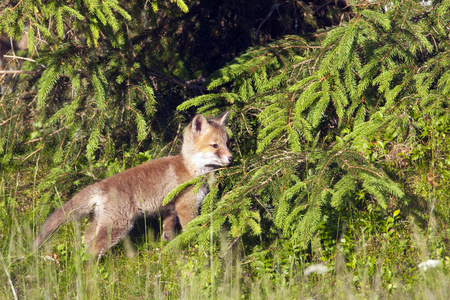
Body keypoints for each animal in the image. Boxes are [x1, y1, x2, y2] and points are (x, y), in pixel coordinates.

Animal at [33, 111, 234, 256]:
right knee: (92, 251)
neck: (190, 169)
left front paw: (170, 253)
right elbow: (193, 230)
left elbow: (168, 235)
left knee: (86, 241)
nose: (231, 158)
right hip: (118, 225)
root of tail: (101, 185)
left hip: (100, 222)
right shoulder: (186, 206)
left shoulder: (169, 210)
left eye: (227, 143)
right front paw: (197, 248)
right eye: (215, 146)